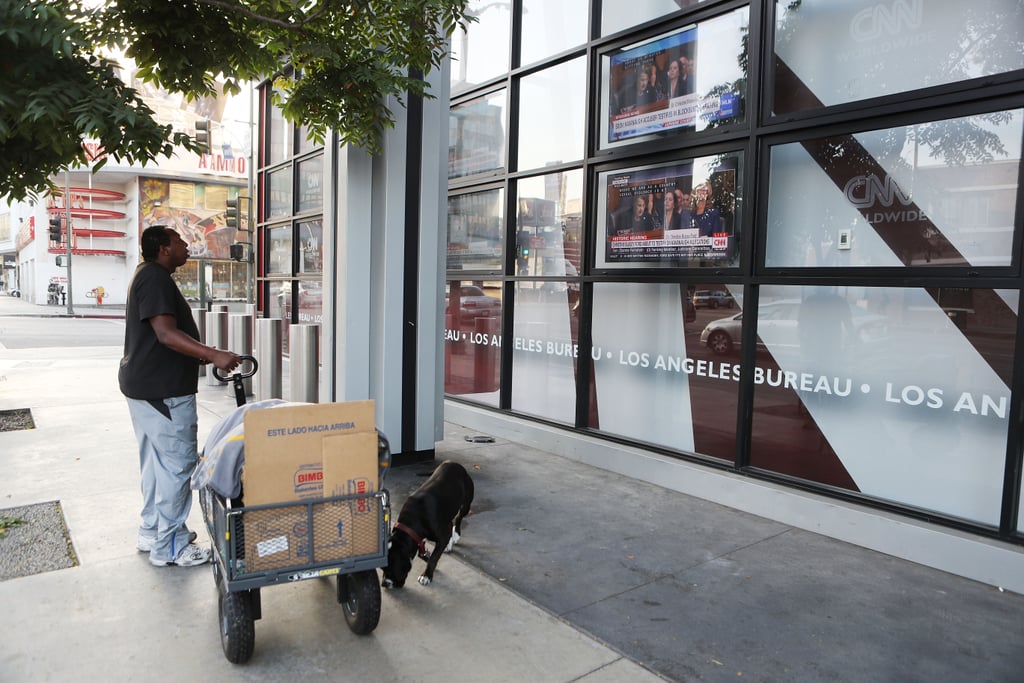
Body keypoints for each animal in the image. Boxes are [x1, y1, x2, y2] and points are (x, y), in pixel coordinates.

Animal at [382, 458, 473, 589]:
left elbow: (434, 558)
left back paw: (456, 535)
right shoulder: (420, 538)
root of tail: (452, 462)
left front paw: (426, 576)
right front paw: (427, 557)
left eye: (391, 569)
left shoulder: (442, 536)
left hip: (465, 504)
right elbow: (424, 553)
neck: (411, 524)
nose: (384, 584)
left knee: (459, 517)